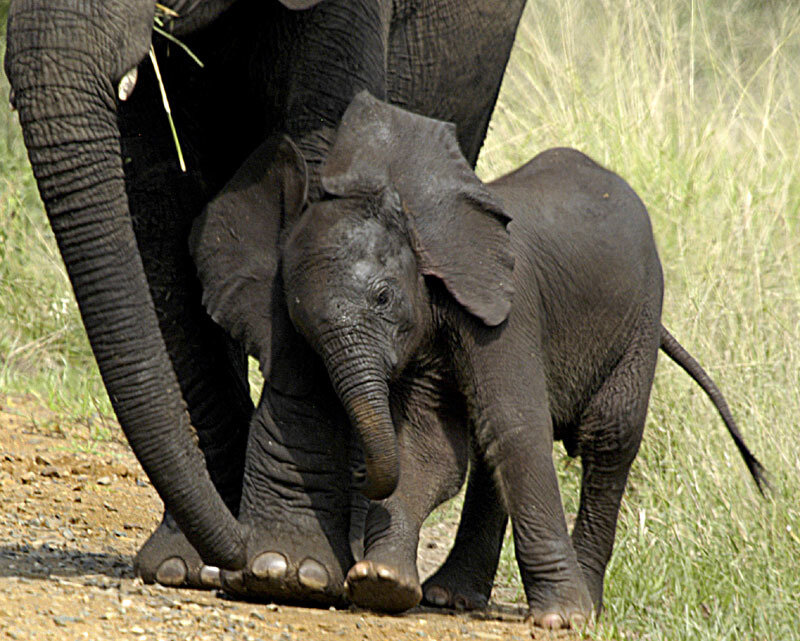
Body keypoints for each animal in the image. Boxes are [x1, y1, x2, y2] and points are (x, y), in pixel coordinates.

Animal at [191, 91, 767, 627]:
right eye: (304, 330)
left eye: (383, 298)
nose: (357, 477)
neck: (411, 211)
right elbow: (430, 448)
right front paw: (381, 583)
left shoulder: (507, 309)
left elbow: (516, 426)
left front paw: (563, 619)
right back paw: (451, 597)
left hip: (640, 319)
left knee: (609, 437)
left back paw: (585, 606)